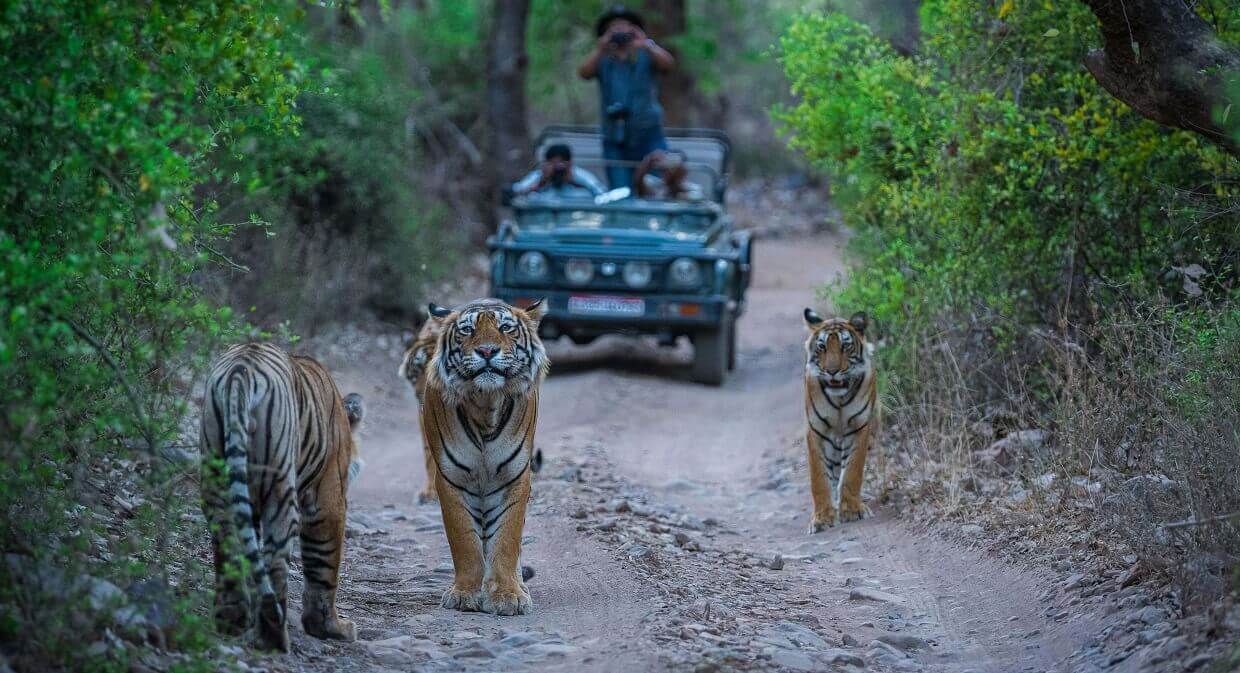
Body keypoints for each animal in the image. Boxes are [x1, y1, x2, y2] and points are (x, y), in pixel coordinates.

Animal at [200, 344, 364, 649]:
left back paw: (232, 621)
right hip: (280, 490)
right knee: (275, 561)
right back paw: (273, 636)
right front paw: (330, 627)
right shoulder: (328, 498)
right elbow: (324, 564)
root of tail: (241, 369)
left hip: (217, 478)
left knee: (229, 546)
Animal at [421, 297, 548, 614]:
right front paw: (465, 593)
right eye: (467, 330)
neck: (485, 404)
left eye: (505, 328)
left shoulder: (515, 477)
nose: (487, 351)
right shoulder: (451, 478)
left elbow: (507, 538)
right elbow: (464, 539)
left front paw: (507, 595)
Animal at [798, 308, 877, 535]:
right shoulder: (816, 431)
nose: (832, 371)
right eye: (822, 347)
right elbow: (819, 478)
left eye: (845, 346)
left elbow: (852, 471)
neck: (839, 398)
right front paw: (822, 518)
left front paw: (852, 510)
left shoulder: (859, 427)